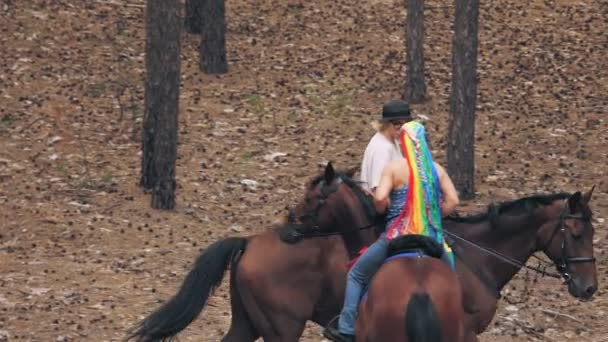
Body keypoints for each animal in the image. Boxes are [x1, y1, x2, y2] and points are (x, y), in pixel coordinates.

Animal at [126, 162, 596, 340]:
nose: (589, 288)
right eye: (576, 232)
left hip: (249, 321)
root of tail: (250, 241)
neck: (477, 256)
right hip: (282, 328)